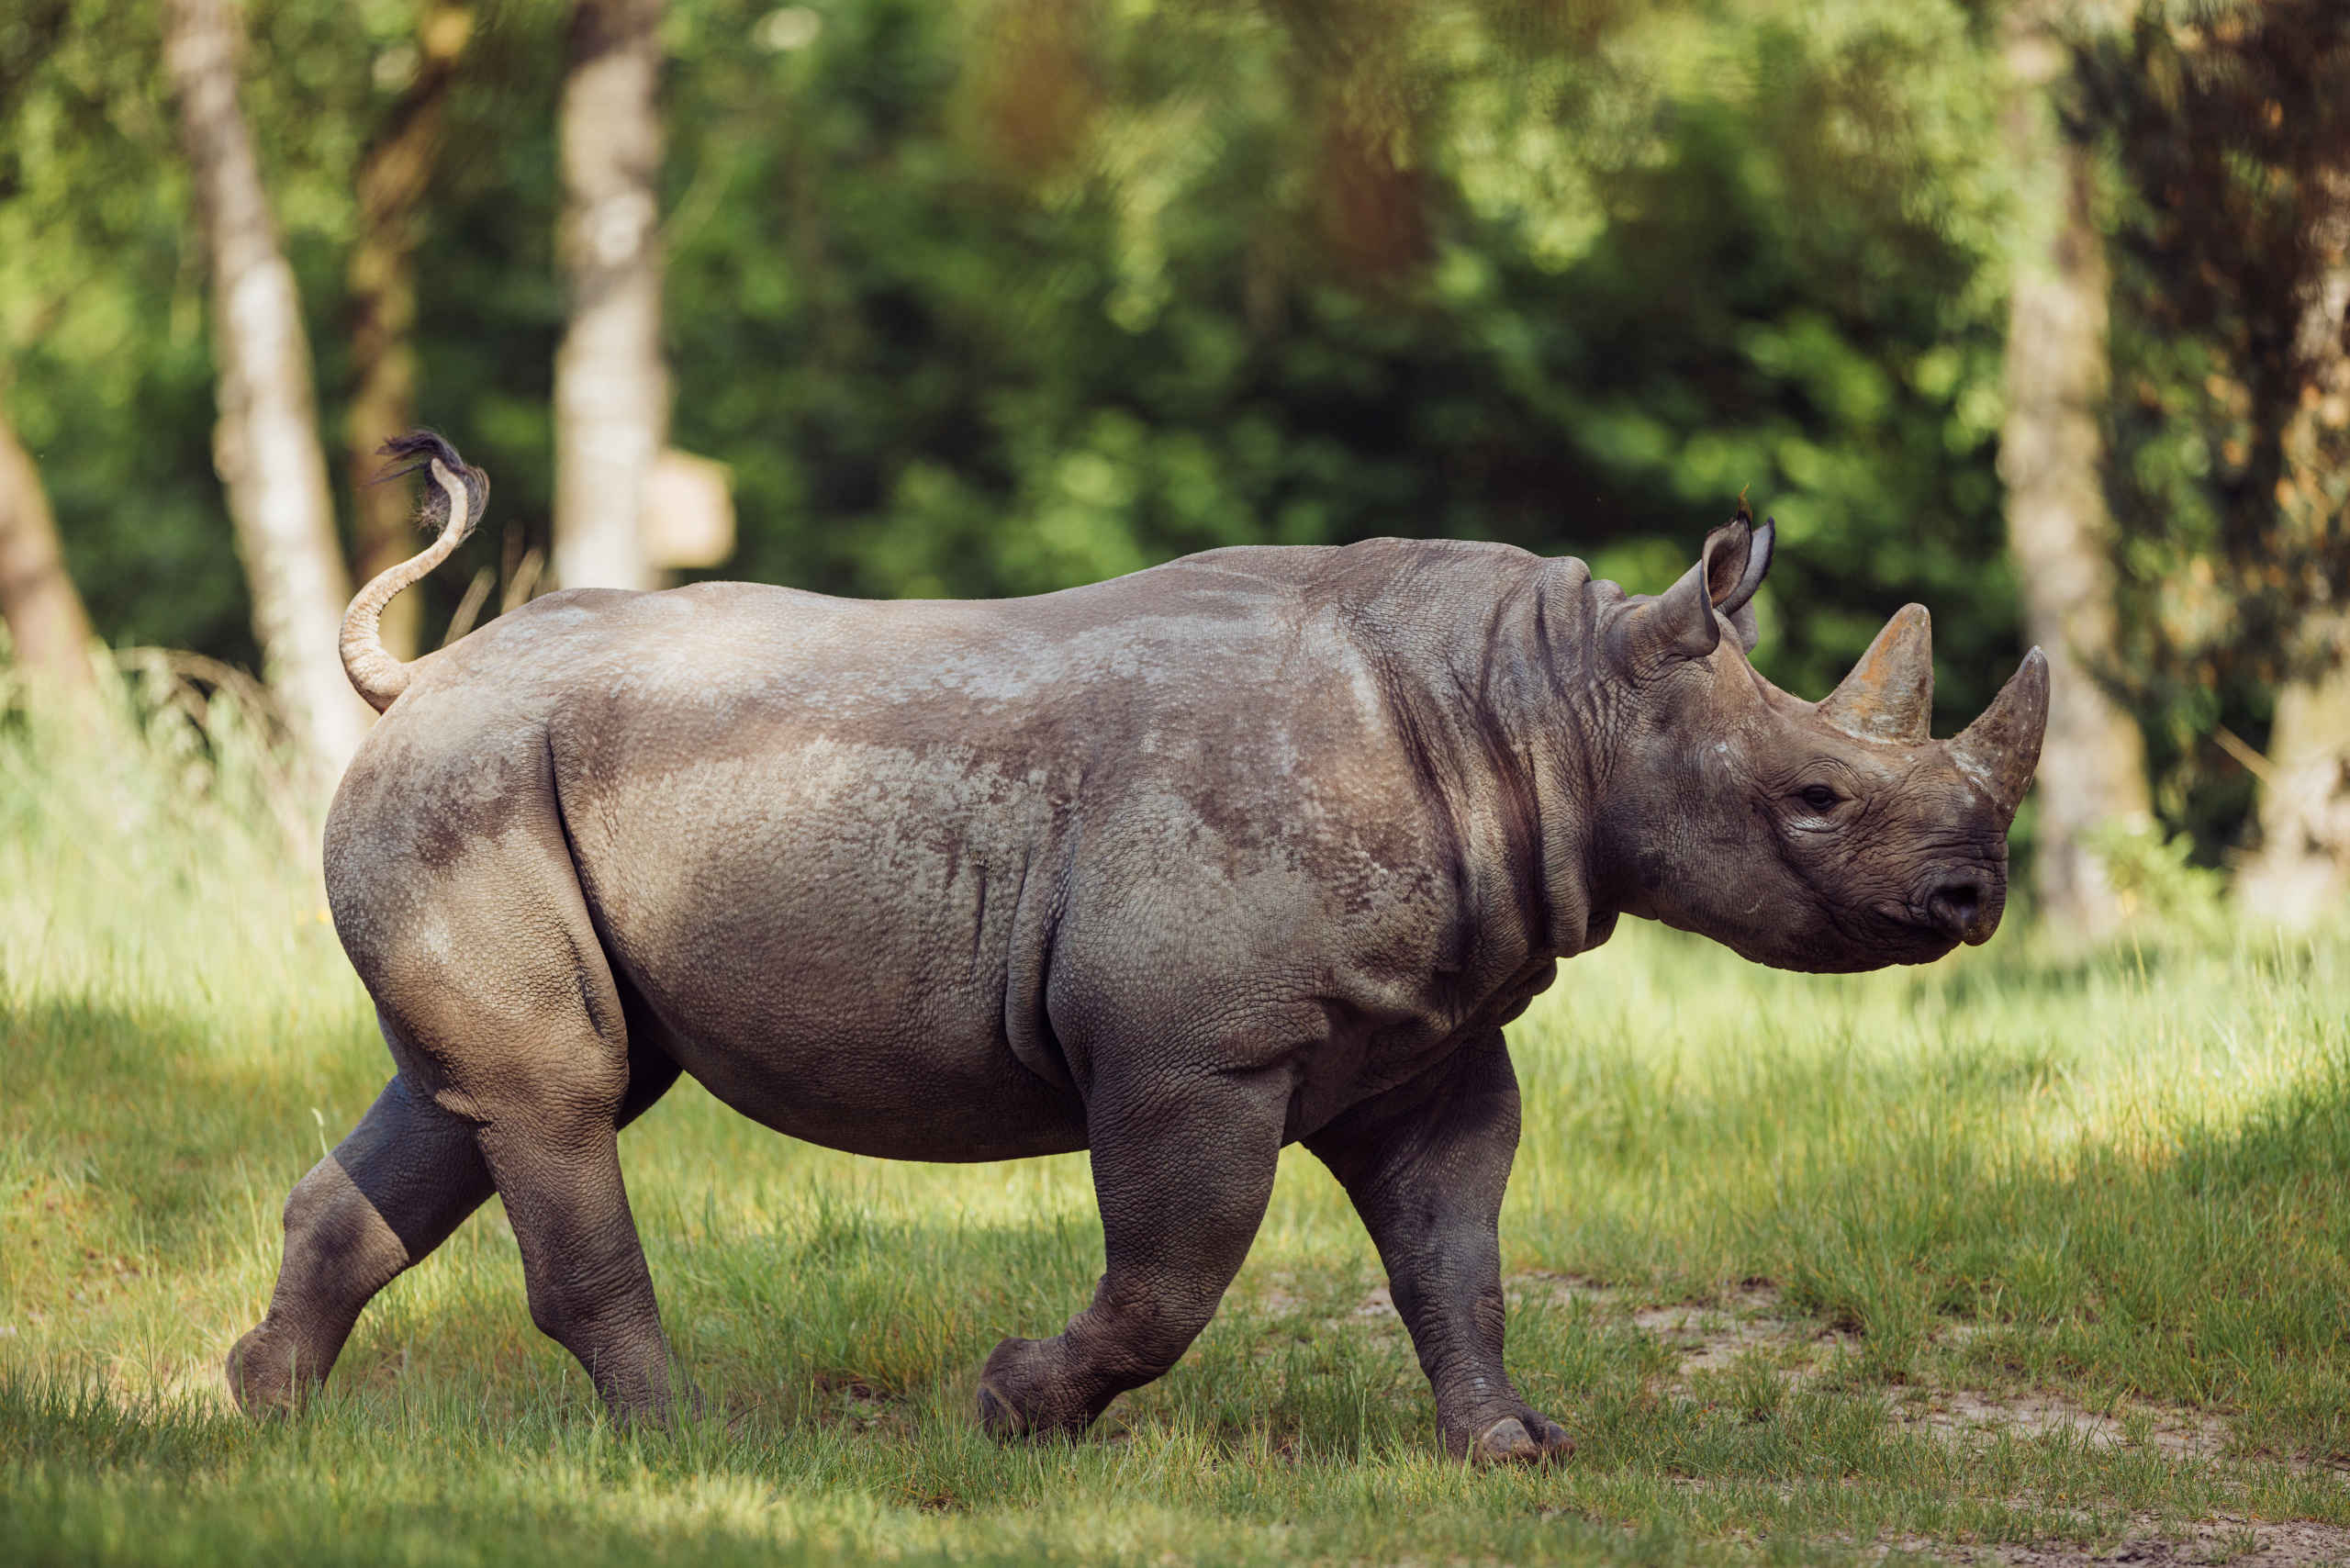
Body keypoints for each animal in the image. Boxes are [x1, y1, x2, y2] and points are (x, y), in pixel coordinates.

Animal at [228, 431, 2047, 1461]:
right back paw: (682, 1454)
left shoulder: (1429, 1031)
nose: (1973, 900)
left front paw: (1515, 1450)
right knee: (566, 1097)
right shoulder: (1195, 1040)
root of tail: (419, 678)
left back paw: (265, 1410)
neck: (1549, 707)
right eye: (1816, 797)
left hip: (484, 782)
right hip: (481, 779)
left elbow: (1455, 1245)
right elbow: (1178, 1267)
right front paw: (1010, 1410)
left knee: (473, 1100)